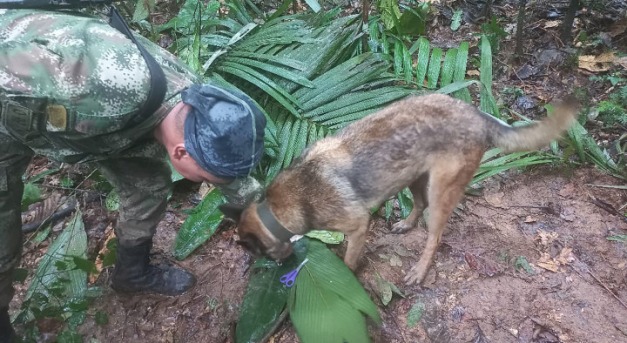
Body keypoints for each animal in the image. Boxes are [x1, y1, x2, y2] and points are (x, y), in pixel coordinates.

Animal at [227, 93, 580, 284]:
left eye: (257, 252)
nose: (277, 268)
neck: (280, 207)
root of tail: (476, 114)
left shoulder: (357, 226)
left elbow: (349, 261)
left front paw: (344, 276)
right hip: (413, 177)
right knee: (418, 205)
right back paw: (405, 225)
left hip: (440, 192)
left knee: (434, 236)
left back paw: (420, 270)